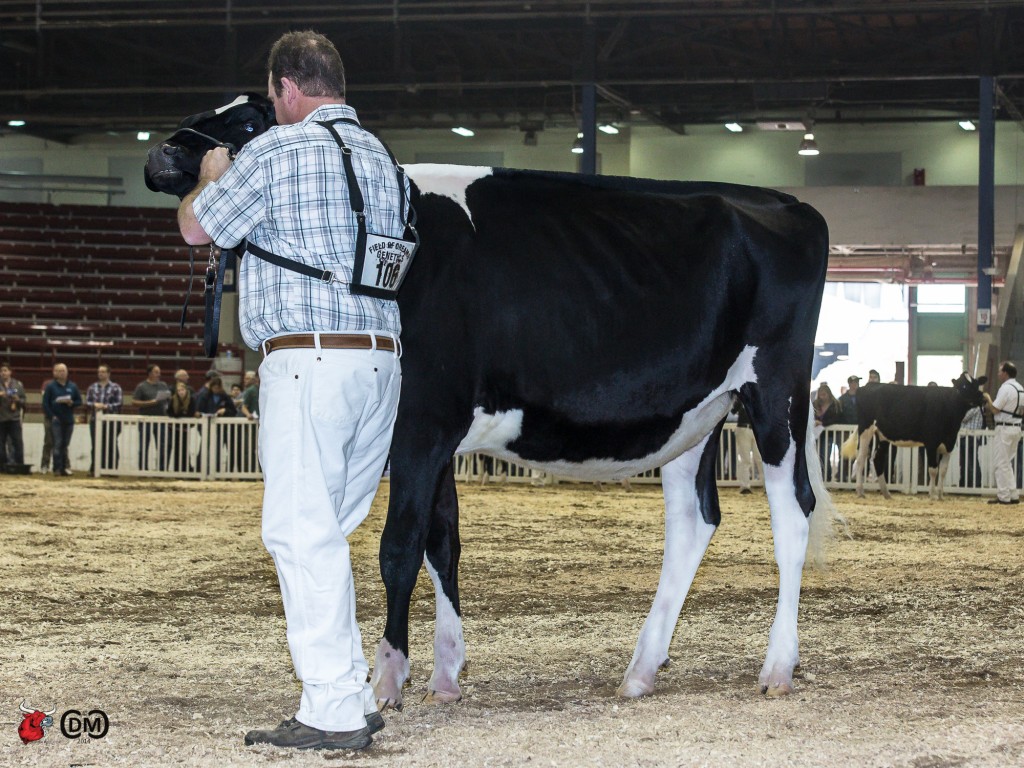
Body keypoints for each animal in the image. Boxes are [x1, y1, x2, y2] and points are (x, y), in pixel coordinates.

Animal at [151, 107, 839, 708]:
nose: (163, 151)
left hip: (774, 392)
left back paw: (777, 667)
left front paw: (389, 677)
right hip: (694, 414)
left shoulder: (421, 423)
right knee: (693, 521)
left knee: (791, 512)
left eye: (249, 119)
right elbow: (442, 543)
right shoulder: (437, 435)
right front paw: (446, 672)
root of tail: (787, 202)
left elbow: (399, 548)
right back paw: (642, 669)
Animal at [839, 376, 991, 501]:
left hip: (882, 436)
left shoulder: (949, 444)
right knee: (861, 458)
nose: (982, 397)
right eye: (964, 386)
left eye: (976, 383)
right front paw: (932, 495)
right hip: (866, 429)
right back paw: (860, 491)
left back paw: (886, 493)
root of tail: (868, 385)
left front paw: (941, 495)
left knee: (878, 460)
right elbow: (933, 470)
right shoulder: (931, 443)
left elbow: (943, 471)